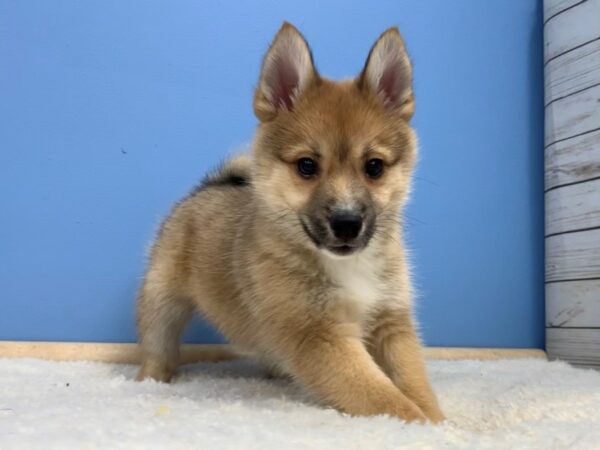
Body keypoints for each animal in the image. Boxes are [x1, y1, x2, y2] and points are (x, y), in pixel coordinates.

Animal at [137, 21, 446, 422]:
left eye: (374, 167)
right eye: (307, 166)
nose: (347, 223)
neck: (348, 266)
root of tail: (208, 186)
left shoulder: (391, 323)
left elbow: (414, 383)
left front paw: (438, 421)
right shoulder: (318, 335)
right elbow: (384, 398)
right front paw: (421, 425)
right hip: (162, 300)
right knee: (158, 344)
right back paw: (151, 379)